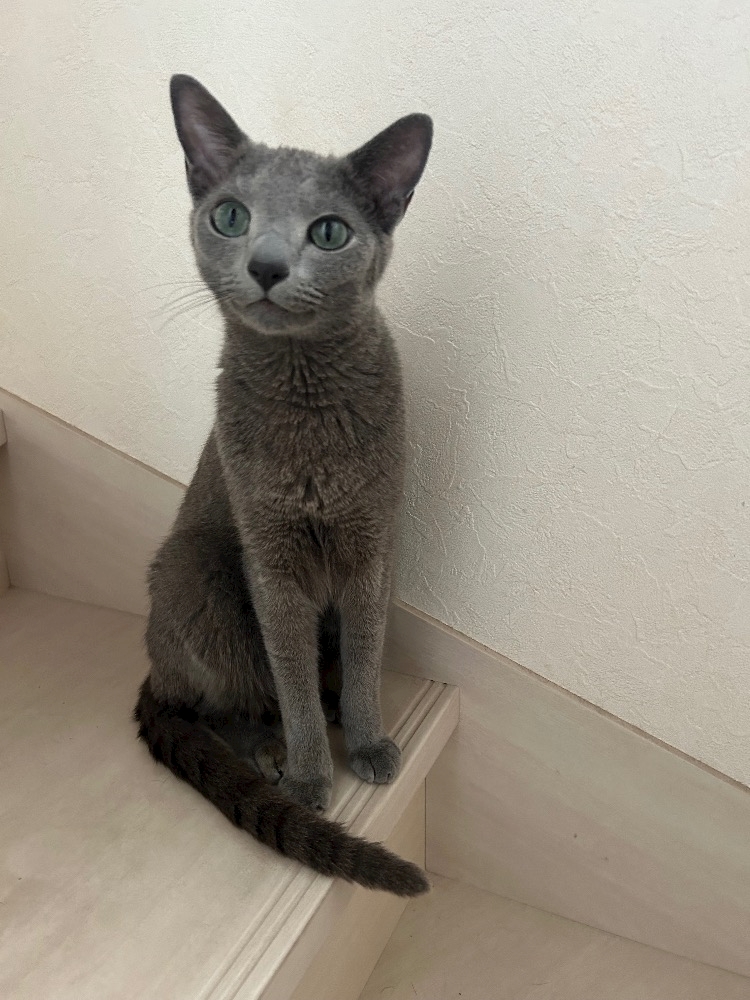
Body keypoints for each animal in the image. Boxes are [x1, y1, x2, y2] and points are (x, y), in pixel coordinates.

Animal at [134, 75, 432, 896]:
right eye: (231, 217)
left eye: (328, 233)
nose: (267, 265)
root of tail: (152, 669)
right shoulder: (270, 561)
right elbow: (288, 673)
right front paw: (307, 778)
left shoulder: (372, 546)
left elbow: (364, 655)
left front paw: (366, 741)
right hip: (193, 567)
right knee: (221, 701)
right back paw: (267, 752)